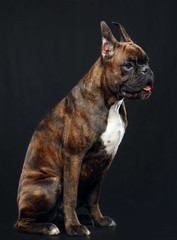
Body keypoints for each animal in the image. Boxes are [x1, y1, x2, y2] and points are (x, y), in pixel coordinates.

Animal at [14, 21, 153, 236]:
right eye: (128, 65)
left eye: (147, 61)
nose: (147, 70)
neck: (110, 101)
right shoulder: (74, 157)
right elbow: (70, 197)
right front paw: (74, 227)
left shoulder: (103, 161)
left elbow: (94, 198)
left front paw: (99, 219)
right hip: (51, 183)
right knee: (23, 222)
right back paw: (48, 227)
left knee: (60, 210)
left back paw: (84, 219)